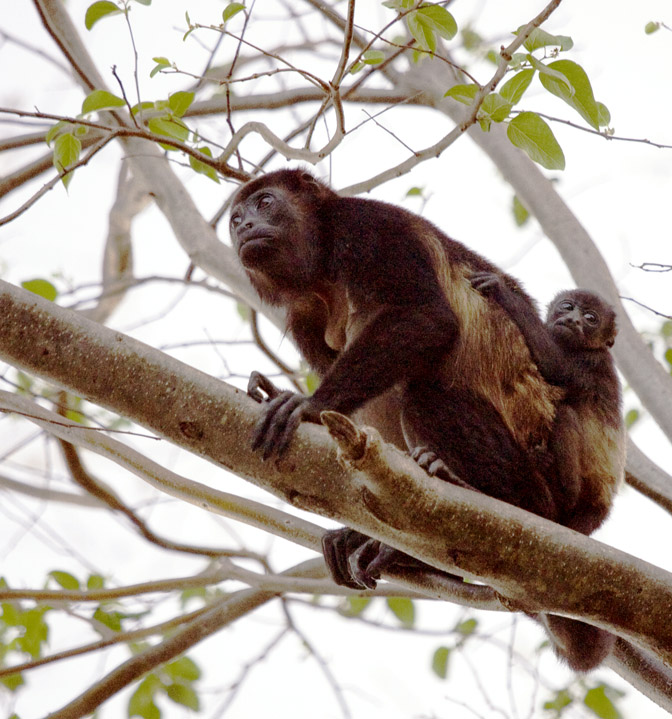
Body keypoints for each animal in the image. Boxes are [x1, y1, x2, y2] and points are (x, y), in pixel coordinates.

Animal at [232, 167, 624, 668]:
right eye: (235, 217)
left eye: (265, 202)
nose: (244, 226)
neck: (321, 271)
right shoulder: (304, 312)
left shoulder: (371, 228)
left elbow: (427, 318)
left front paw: (308, 406)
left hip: (549, 482)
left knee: (425, 394)